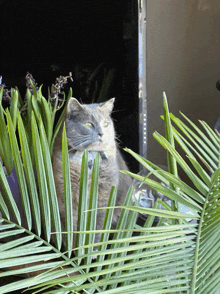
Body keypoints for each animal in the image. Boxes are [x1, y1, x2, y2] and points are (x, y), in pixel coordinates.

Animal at [52, 98, 132, 246]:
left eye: (106, 124)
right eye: (88, 124)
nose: (101, 133)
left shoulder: (105, 191)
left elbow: (99, 222)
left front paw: (92, 246)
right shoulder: (66, 189)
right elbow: (72, 220)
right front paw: (75, 245)